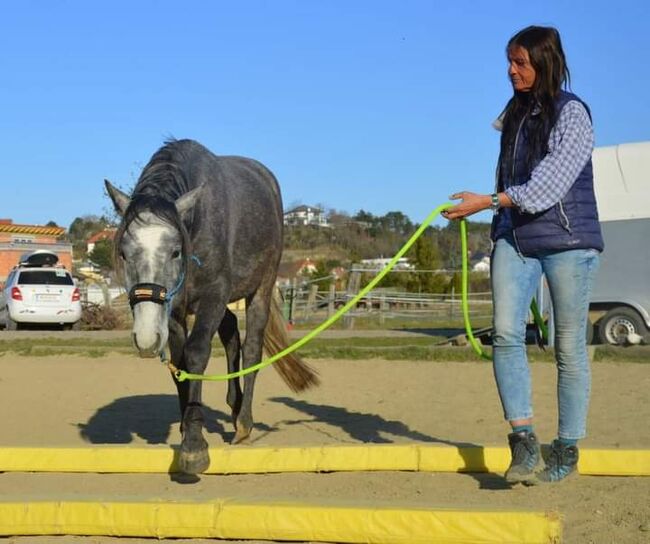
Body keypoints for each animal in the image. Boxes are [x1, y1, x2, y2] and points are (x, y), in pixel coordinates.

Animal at [105, 139, 316, 472]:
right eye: (124, 253)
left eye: (175, 251)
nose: (146, 338)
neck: (197, 225)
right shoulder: (176, 310)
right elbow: (179, 363)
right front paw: (186, 429)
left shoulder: (214, 295)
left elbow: (196, 355)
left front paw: (194, 445)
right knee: (231, 333)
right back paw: (234, 404)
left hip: (261, 288)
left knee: (251, 348)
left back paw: (244, 423)